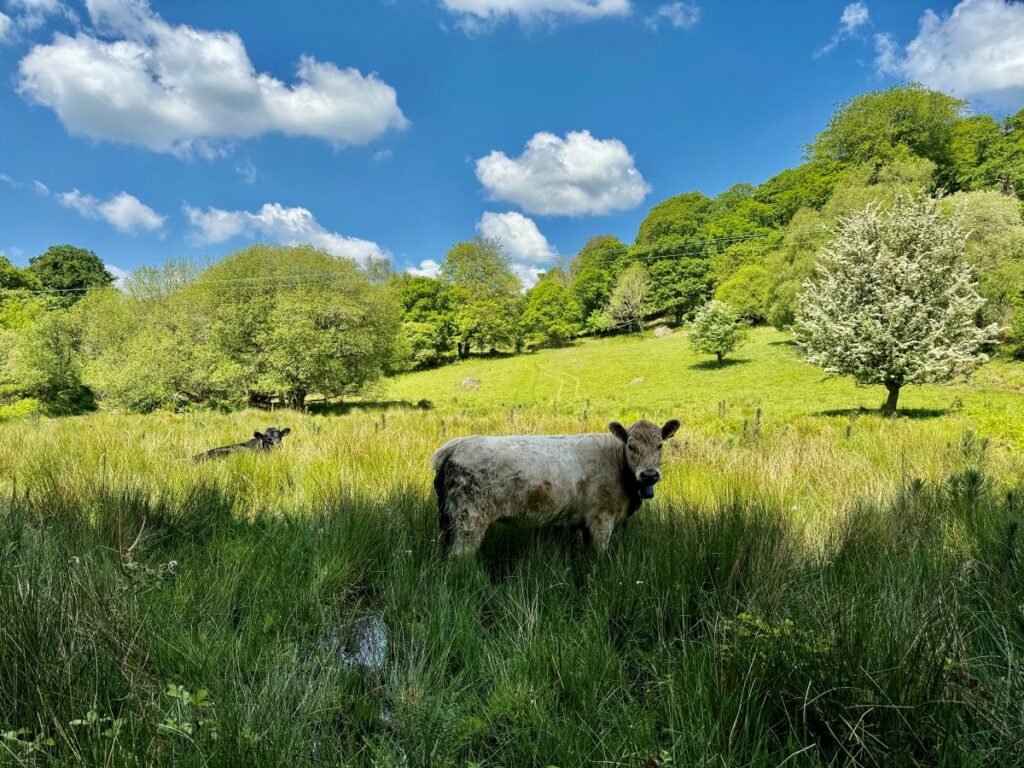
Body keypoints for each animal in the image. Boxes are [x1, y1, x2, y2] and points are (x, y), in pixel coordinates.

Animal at [431, 418, 681, 556]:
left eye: (660, 445)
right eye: (631, 446)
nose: (649, 474)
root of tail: (457, 444)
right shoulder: (601, 520)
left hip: (448, 523)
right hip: (469, 522)